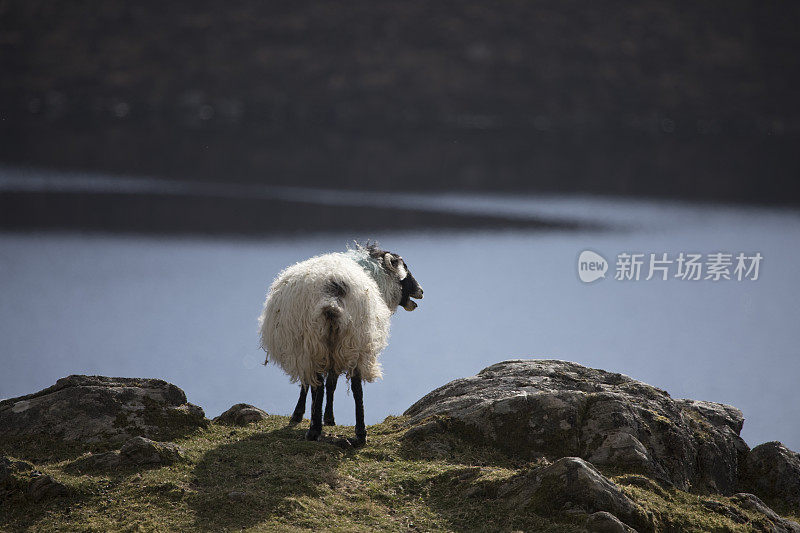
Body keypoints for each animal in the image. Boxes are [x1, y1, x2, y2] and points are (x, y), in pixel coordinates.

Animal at [260, 243, 424, 442]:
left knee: (318, 385)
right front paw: (327, 418)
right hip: (355, 340)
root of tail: (332, 295)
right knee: (356, 388)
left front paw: (304, 415)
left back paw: (314, 429)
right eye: (404, 271)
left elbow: (313, 385)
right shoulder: (335, 350)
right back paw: (360, 433)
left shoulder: (307, 351)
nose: (421, 291)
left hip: (316, 342)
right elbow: (331, 383)